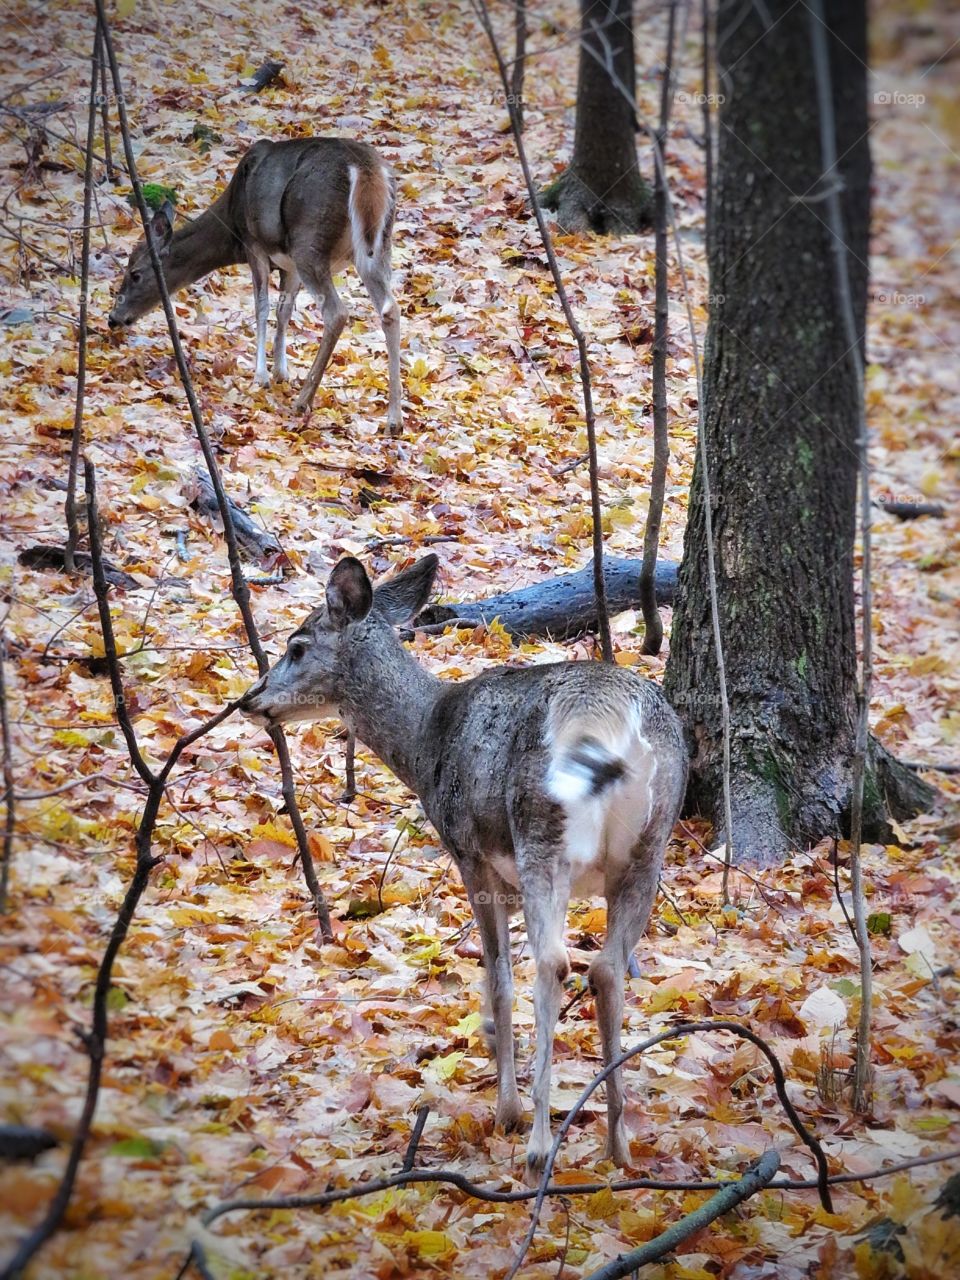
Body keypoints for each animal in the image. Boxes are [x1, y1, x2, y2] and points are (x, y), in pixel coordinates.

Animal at [108, 138, 401, 432]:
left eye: (135, 274)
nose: (113, 318)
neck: (230, 227)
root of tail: (366, 170)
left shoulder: (255, 244)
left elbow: (261, 307)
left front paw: (261, 376)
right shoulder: (287, 263)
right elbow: (284, 311)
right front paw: (281, 371)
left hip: (309, 240)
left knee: (336, 312)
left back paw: (303, 401)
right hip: (376, 246)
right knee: (390, 309)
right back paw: (394, 419)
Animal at [240, 555, 691, 1172]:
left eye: (297, 646)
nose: (250, 699)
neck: (427, 741)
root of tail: (608, 722)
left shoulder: (472, 857)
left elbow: (497, 977)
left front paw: (507, 1110)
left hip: (540, 830)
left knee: (553, 963)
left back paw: (539, 1143)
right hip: (651, 844)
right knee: (605, 969)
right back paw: (620, 1148)